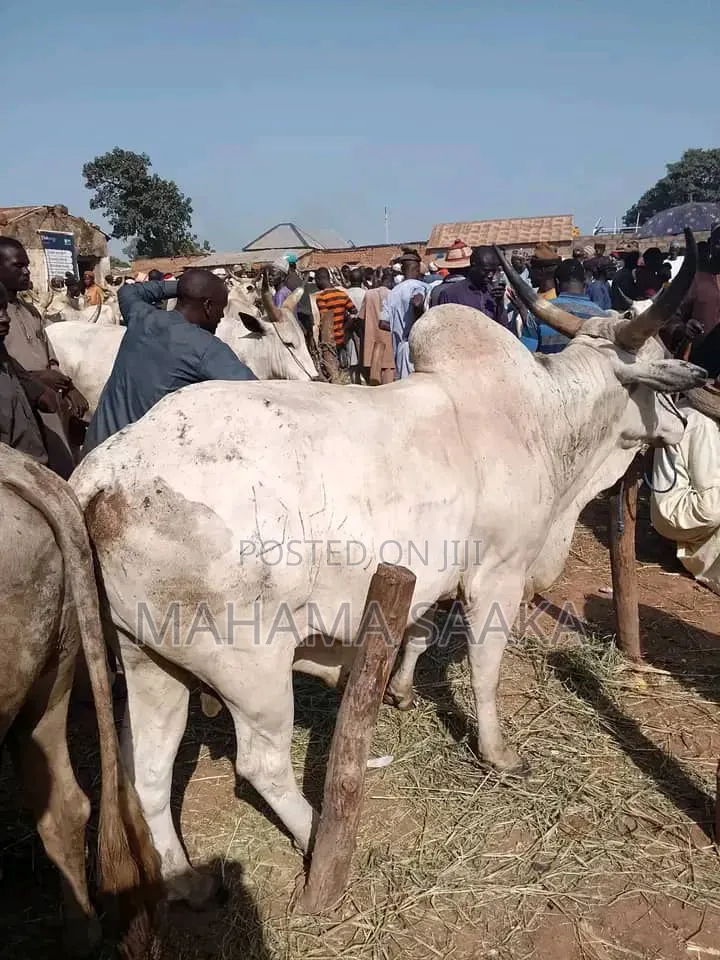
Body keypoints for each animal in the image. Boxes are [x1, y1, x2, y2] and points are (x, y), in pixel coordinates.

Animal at [70, 229, 705, 908]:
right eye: (662, 375)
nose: (683, 420)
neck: (545, 421)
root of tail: (99, 478)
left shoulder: (428, 580)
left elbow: (420, 636)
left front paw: (400, 691)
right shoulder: (497, 575)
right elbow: (484, 668)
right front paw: (499, 753)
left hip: (148, 660)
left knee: (148, 773)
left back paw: (182, 876)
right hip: (249, 667)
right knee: (261, 764)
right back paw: (319, 835)